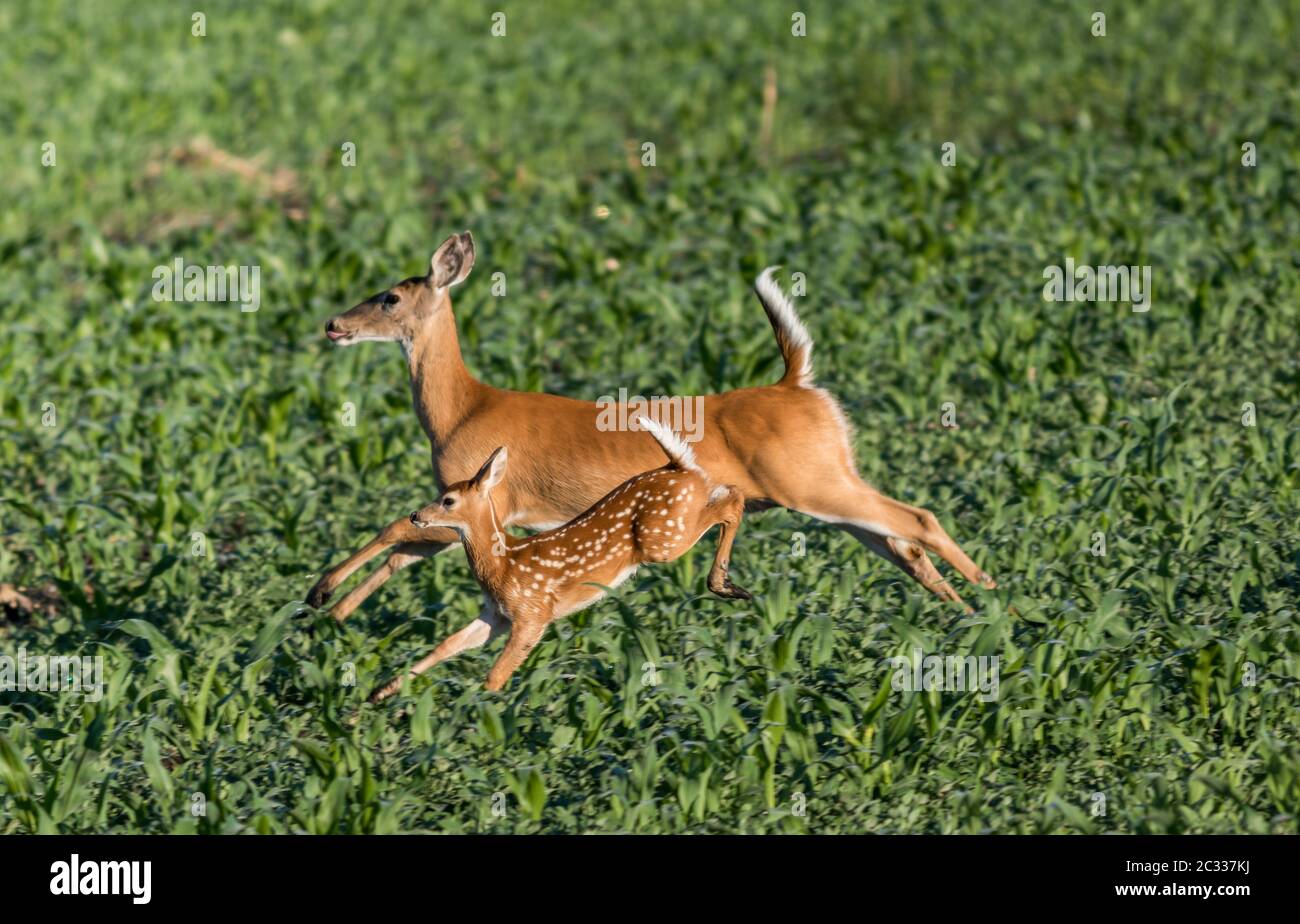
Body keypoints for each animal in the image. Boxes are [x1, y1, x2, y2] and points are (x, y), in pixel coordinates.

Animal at [306, 231, 993, 621]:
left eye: (390, 297)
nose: (334, 325)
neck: (462, 409)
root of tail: (797, 382)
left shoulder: (485, 497)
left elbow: (399, 529)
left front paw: (321, 596)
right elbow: (404, 550)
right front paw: (335, 610)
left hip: (810, 481)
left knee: (917, 520)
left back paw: (988, 593)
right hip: (825, 484)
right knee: (901, 541)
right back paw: (964, 613)